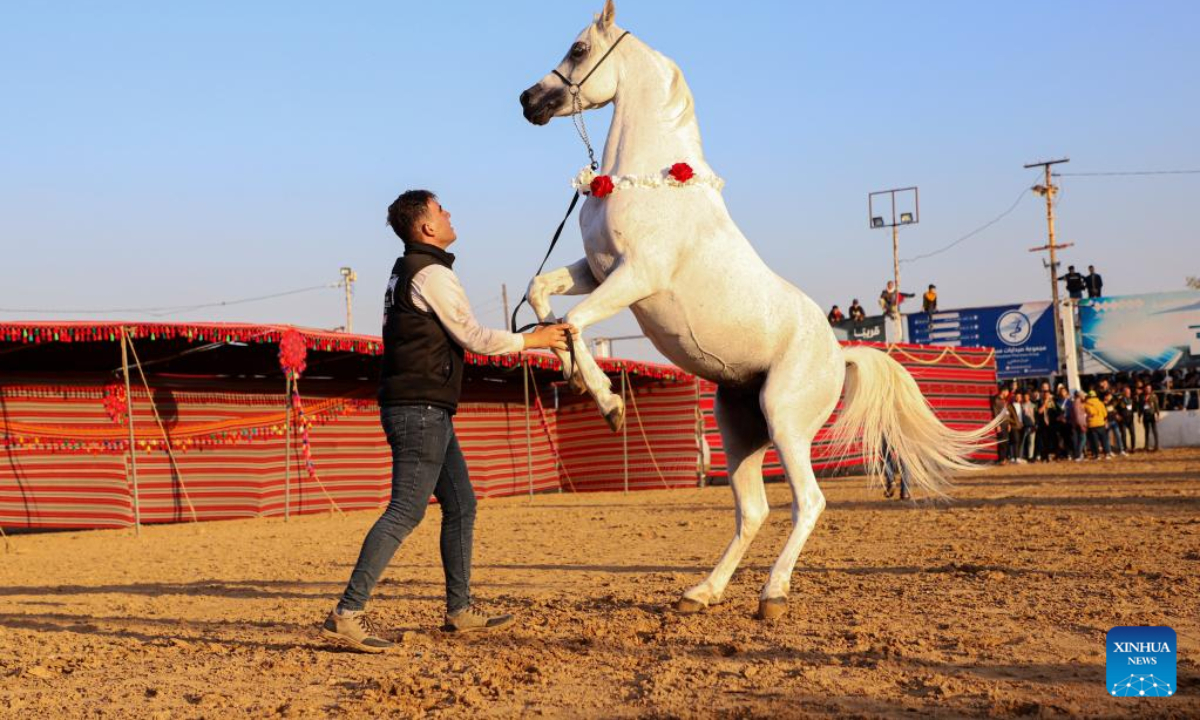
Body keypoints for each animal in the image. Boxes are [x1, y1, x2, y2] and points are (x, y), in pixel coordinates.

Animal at [520, 0, 988, 619]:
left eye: (577, 49)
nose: (528, 100)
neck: (653, 183)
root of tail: (839, 354)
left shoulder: (634, 277)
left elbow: (572, 323)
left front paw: (610, 405)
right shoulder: (596, 272)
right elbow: (541, 295)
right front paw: (576, 379)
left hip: (786, 421)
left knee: (808, 503)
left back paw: (773, 595)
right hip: (739, 430)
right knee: (754, 511)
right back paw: (701, 593)